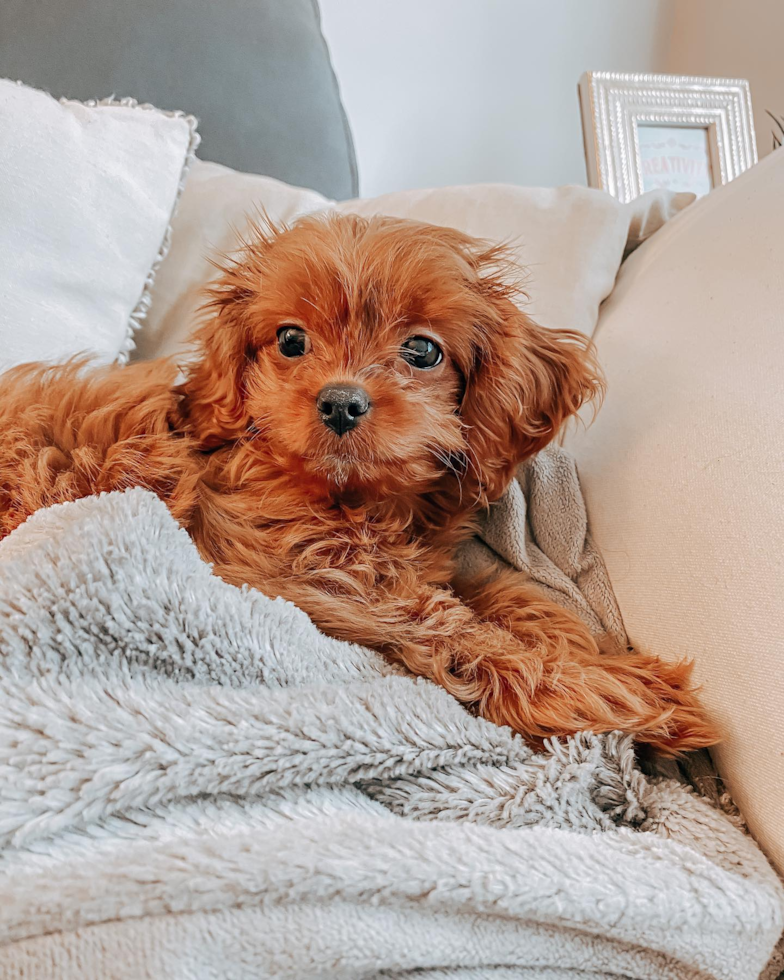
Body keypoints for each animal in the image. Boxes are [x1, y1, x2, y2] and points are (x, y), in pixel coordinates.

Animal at [0, 212, 716, 752]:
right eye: (291, 340)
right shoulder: (300, 576)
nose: (342, 402)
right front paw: (604, 689)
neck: (353, 500)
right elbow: (446, 623)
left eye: (423, 350)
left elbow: (489, 590)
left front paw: (567, 634)